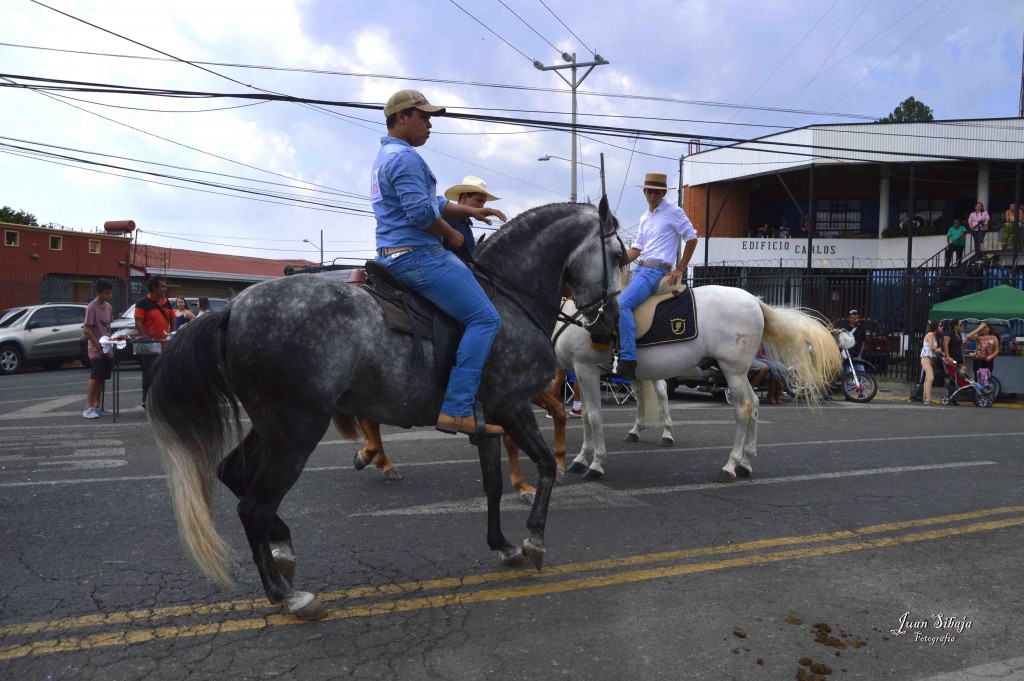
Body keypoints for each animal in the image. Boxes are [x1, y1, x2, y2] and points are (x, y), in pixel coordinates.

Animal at [144, 199, 622, 618]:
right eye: (618, 254)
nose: (609, 325)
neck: (506, 301)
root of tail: (232, 311)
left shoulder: (486, 422)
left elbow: (491, 485)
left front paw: (503, 544)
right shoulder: (514, 407)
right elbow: (544, 468)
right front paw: (534, 540)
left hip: (272, 426)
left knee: (233, 474)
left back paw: (283, 547)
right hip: (297, 431)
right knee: (253, 506)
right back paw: (289, 595)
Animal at [557, 284, 835, 481]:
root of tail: (754, 300)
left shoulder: (587, 369)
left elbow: (594, 416)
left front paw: (595, 464)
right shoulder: (580, 372)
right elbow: (585, 415)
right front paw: (581, 458)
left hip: (733, 370)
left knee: (744, 408)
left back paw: (730, 465)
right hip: (737, 371)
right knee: (754, 404)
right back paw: (746, 463)